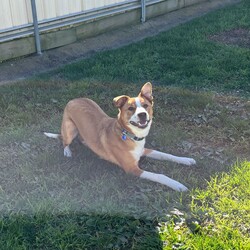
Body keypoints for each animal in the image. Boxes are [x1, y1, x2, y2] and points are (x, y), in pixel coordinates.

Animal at [46, 82, 196, 191]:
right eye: (131, 108)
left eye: (145, 105)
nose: (142, 114)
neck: (130, 135)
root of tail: (73, 100)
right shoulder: (132, 169)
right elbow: (160, 176)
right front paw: (177, 185)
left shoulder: (144, 150)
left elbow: (166, 155)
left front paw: (186, 160)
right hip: (70, 129)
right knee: (65, 141)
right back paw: (67, 152)